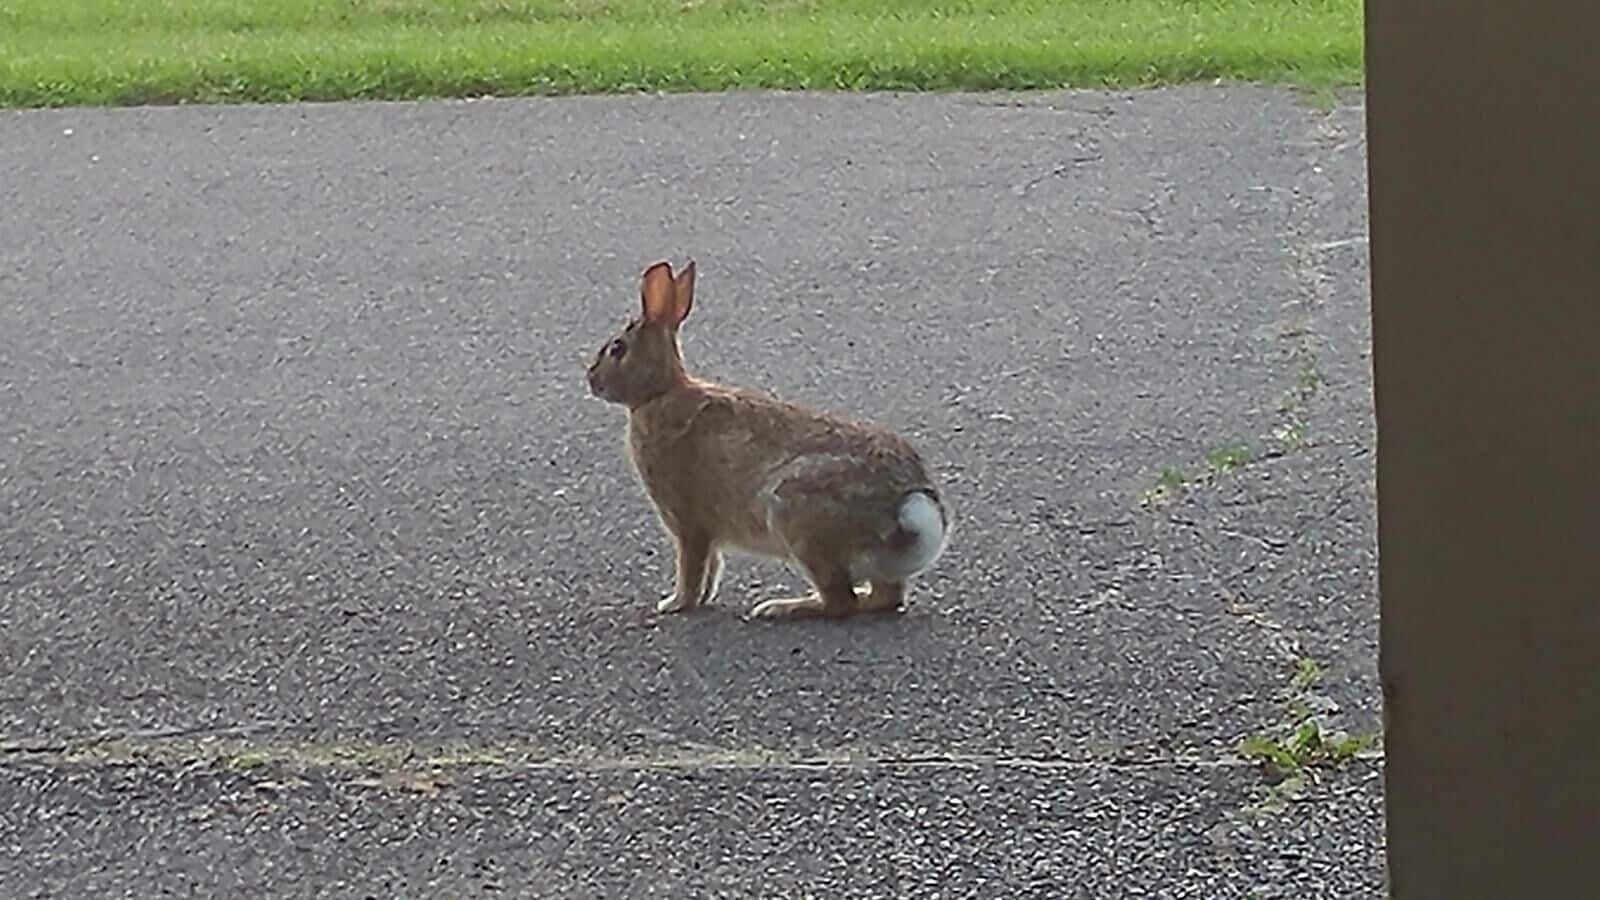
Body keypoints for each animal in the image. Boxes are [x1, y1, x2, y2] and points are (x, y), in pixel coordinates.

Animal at [585, 259, 951, 620]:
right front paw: (700, 599)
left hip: (796, 518)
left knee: (839, 601)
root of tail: (907, 505)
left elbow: (692, 565)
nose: (591, 379)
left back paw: (779, 607)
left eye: (617, 348)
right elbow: (712, 566)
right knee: (885, 597)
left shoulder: (688, 520)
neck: (658, 392)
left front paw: (675, 604)